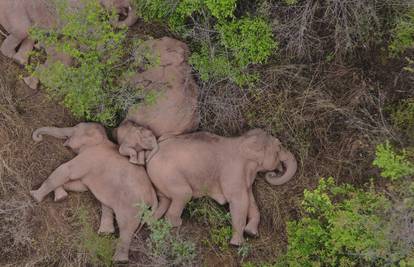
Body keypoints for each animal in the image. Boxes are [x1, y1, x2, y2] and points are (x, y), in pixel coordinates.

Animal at [29, 123, 158, 264]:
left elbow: (66, 170)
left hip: (133, 204)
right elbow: (79, 185)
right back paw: (105, 233)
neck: (102, 138)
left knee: (126, 227)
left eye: (75, 129)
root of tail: (153, 195)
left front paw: (34, 196)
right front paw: (61, 197)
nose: (39, 138)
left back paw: (119, 260)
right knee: (108, 206)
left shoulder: (89, 157)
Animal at [146, 130, 298, 247]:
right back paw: (176, 224)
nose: (273, 173)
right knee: (184, 194)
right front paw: (237, 244)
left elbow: (251, 201)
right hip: (167, 173)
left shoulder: (244, 178)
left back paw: (153, 223)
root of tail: (151, 155)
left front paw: (251, 233)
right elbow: (239, 202)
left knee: (165, 200)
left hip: (160, 178)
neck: (242, 140)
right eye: (279, 147)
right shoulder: (233, 172)